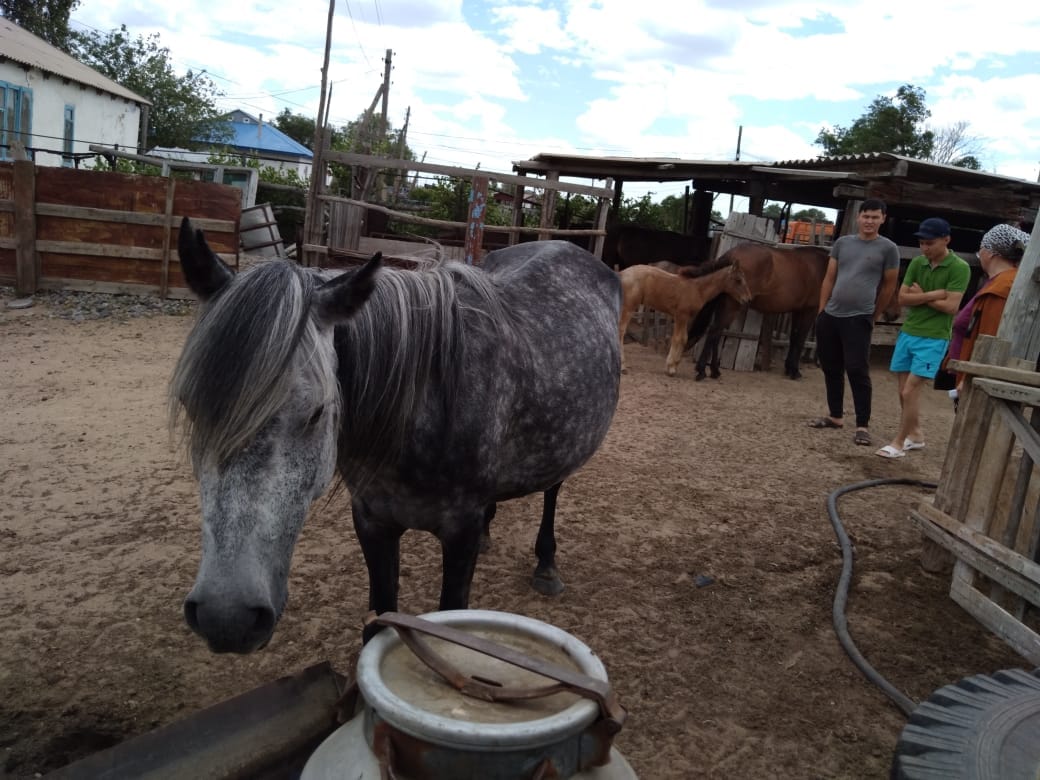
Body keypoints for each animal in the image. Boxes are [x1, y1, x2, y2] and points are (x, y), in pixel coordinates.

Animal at [173, 217, 619, 648]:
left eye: (317, 412)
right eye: (191, 407)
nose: (226, 617)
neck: (425, 405)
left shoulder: (459, 533)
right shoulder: (373, 521)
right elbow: (381, 616)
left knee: (553, 489)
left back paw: (547, 564)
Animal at [619, 261, 752, 376]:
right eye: (738, 280)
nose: (747, 299)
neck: (697, 289)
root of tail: (622, 273)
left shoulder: (686, 318)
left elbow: (684, 338)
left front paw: (674, 365)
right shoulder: (680, 315)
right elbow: (678, 338)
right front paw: (671, 368)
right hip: (628, 308)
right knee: (621, 332)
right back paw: (623, 366)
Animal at [690, 243, 827, 380]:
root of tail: (731, 254)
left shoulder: (799, 311)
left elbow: (794, 338)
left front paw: (789, 368)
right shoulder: (809, 311)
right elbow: (799, 340)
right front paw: (794, 371)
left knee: (717, 332)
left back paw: (715, 371)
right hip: (733, 306)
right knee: (715, 331)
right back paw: (702, 370)